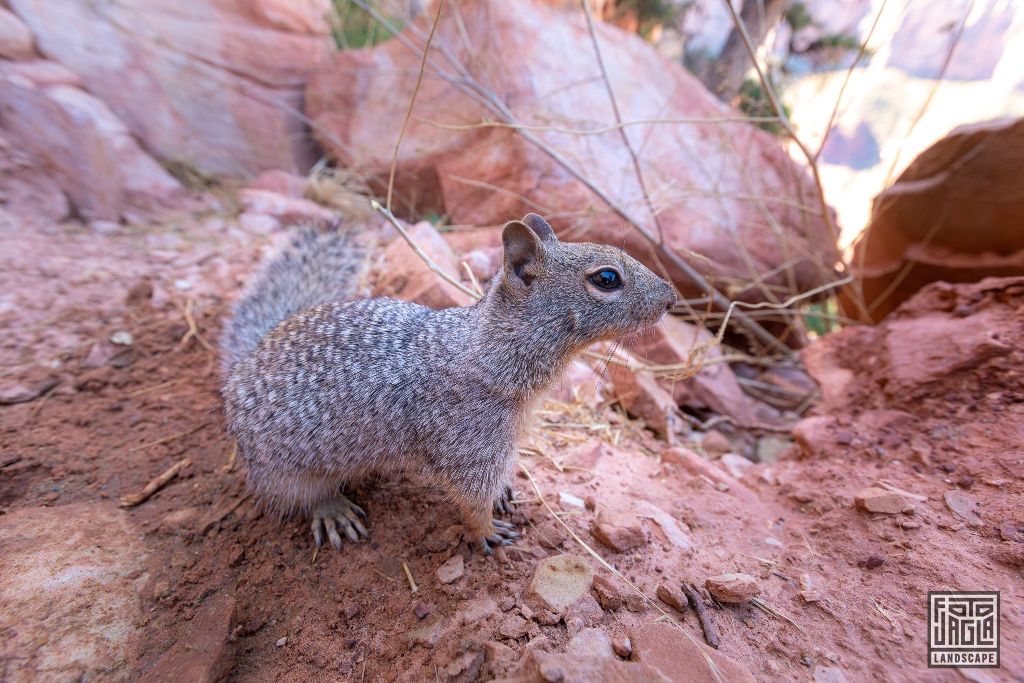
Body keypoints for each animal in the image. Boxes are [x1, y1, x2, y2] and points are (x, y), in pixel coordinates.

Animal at [220, 215, 675, 557]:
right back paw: (331, 509)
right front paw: (485, 531)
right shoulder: (470, 442)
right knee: (299, 494)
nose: (671, 297)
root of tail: (243, 364)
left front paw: (505, 491)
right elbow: (471, 496)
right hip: (284, 467)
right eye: (607, 278)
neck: (486, 349)